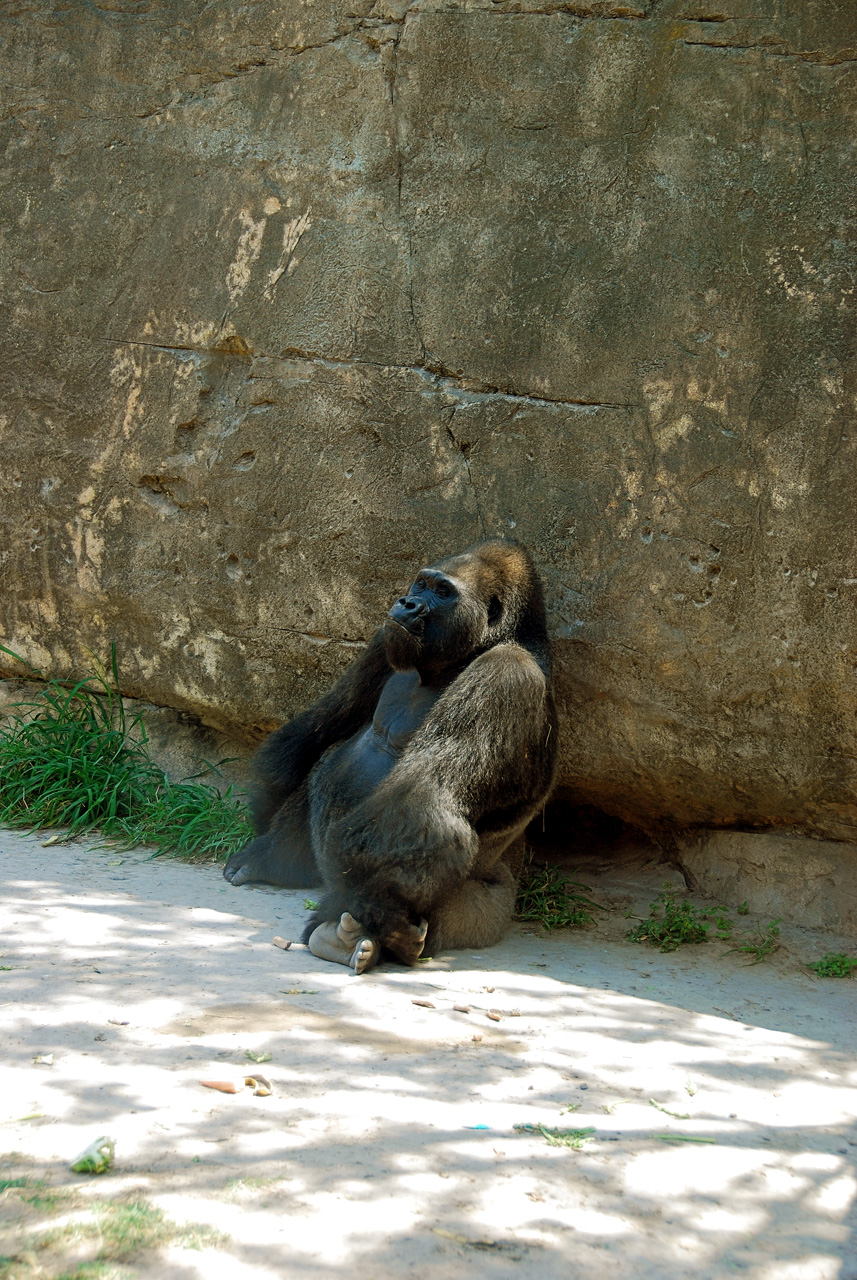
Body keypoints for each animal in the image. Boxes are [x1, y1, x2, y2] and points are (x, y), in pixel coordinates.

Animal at [221, 537, 560, 967]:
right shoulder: (386, 638)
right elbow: (330, 719)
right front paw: (270, 802)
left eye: (443, 592)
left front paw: (372, 911)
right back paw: (273, 859)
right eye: (422, 583)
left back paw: (376, 932)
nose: (408, 603)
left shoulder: (505, 675)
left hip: (488, 912)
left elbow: (420, 804)